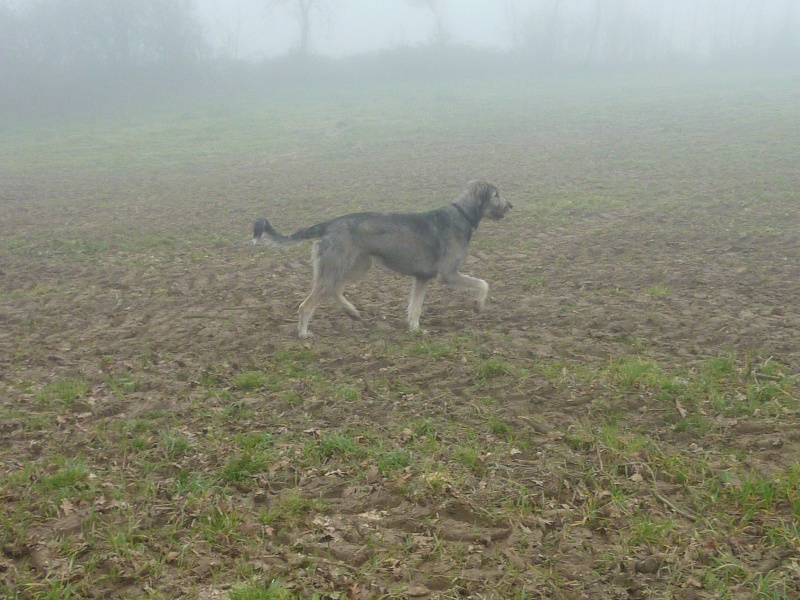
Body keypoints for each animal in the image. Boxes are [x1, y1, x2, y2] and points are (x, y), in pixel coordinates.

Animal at [252, 179, 512, 338]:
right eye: (497, 194)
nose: (511, 204)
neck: (463, 214)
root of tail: (328, 224)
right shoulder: (448, 274)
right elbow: (483, 283)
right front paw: (478, 305)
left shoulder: (422, 278)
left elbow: (415, 307)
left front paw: (415, 329)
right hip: (337, 268)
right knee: (306, 305)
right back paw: (304, 334)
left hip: (356, 267)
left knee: (335, 290)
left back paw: (352, 312)